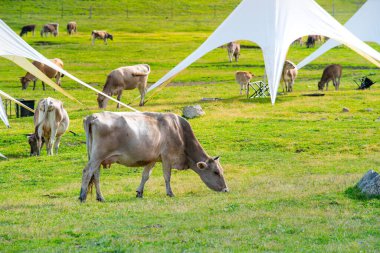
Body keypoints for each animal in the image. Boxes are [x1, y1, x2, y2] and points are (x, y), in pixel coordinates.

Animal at [78, 111, 229, 203]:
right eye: (216, 172)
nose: (226, 189)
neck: (179, 131)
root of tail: (93, 116)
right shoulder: (167, 157)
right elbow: (167, 176)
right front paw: (170, 193)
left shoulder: (153, 158)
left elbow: (145, 175)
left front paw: (139, 192)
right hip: (97, 156)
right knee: (87, 172)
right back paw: (82, 196)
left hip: (97, 157)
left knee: (96, 175)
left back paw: (100, 197)